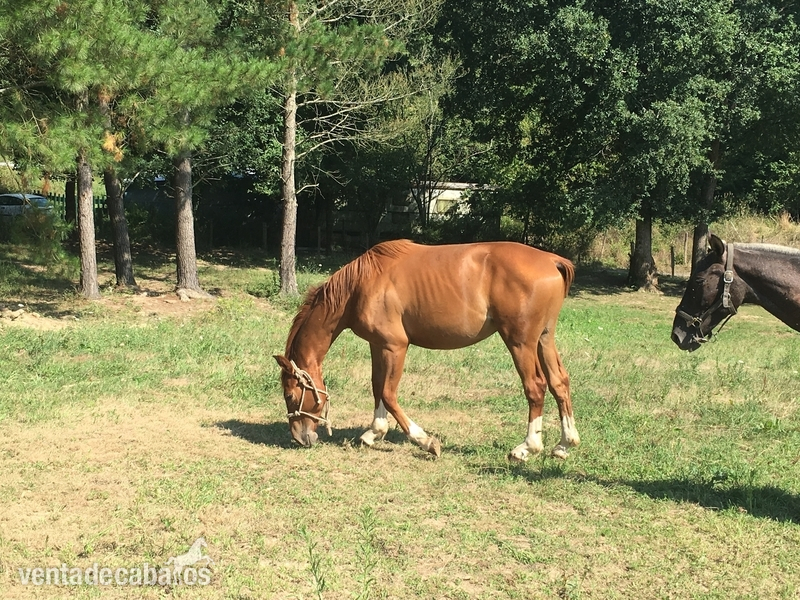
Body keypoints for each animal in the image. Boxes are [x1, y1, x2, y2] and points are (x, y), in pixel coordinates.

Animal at [274, 239, 580, 462]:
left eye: (290, 395)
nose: (300, 438)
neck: (360, 286)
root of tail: (551, 260)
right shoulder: (378, 345)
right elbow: (377, 387)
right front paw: (374, 432)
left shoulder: (395, 346)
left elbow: (388, 392)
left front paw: (425, 441)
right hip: (543, 339)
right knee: (559, 382)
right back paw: (564, 444)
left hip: (520, 342)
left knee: (535, 386)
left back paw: (527, 447)